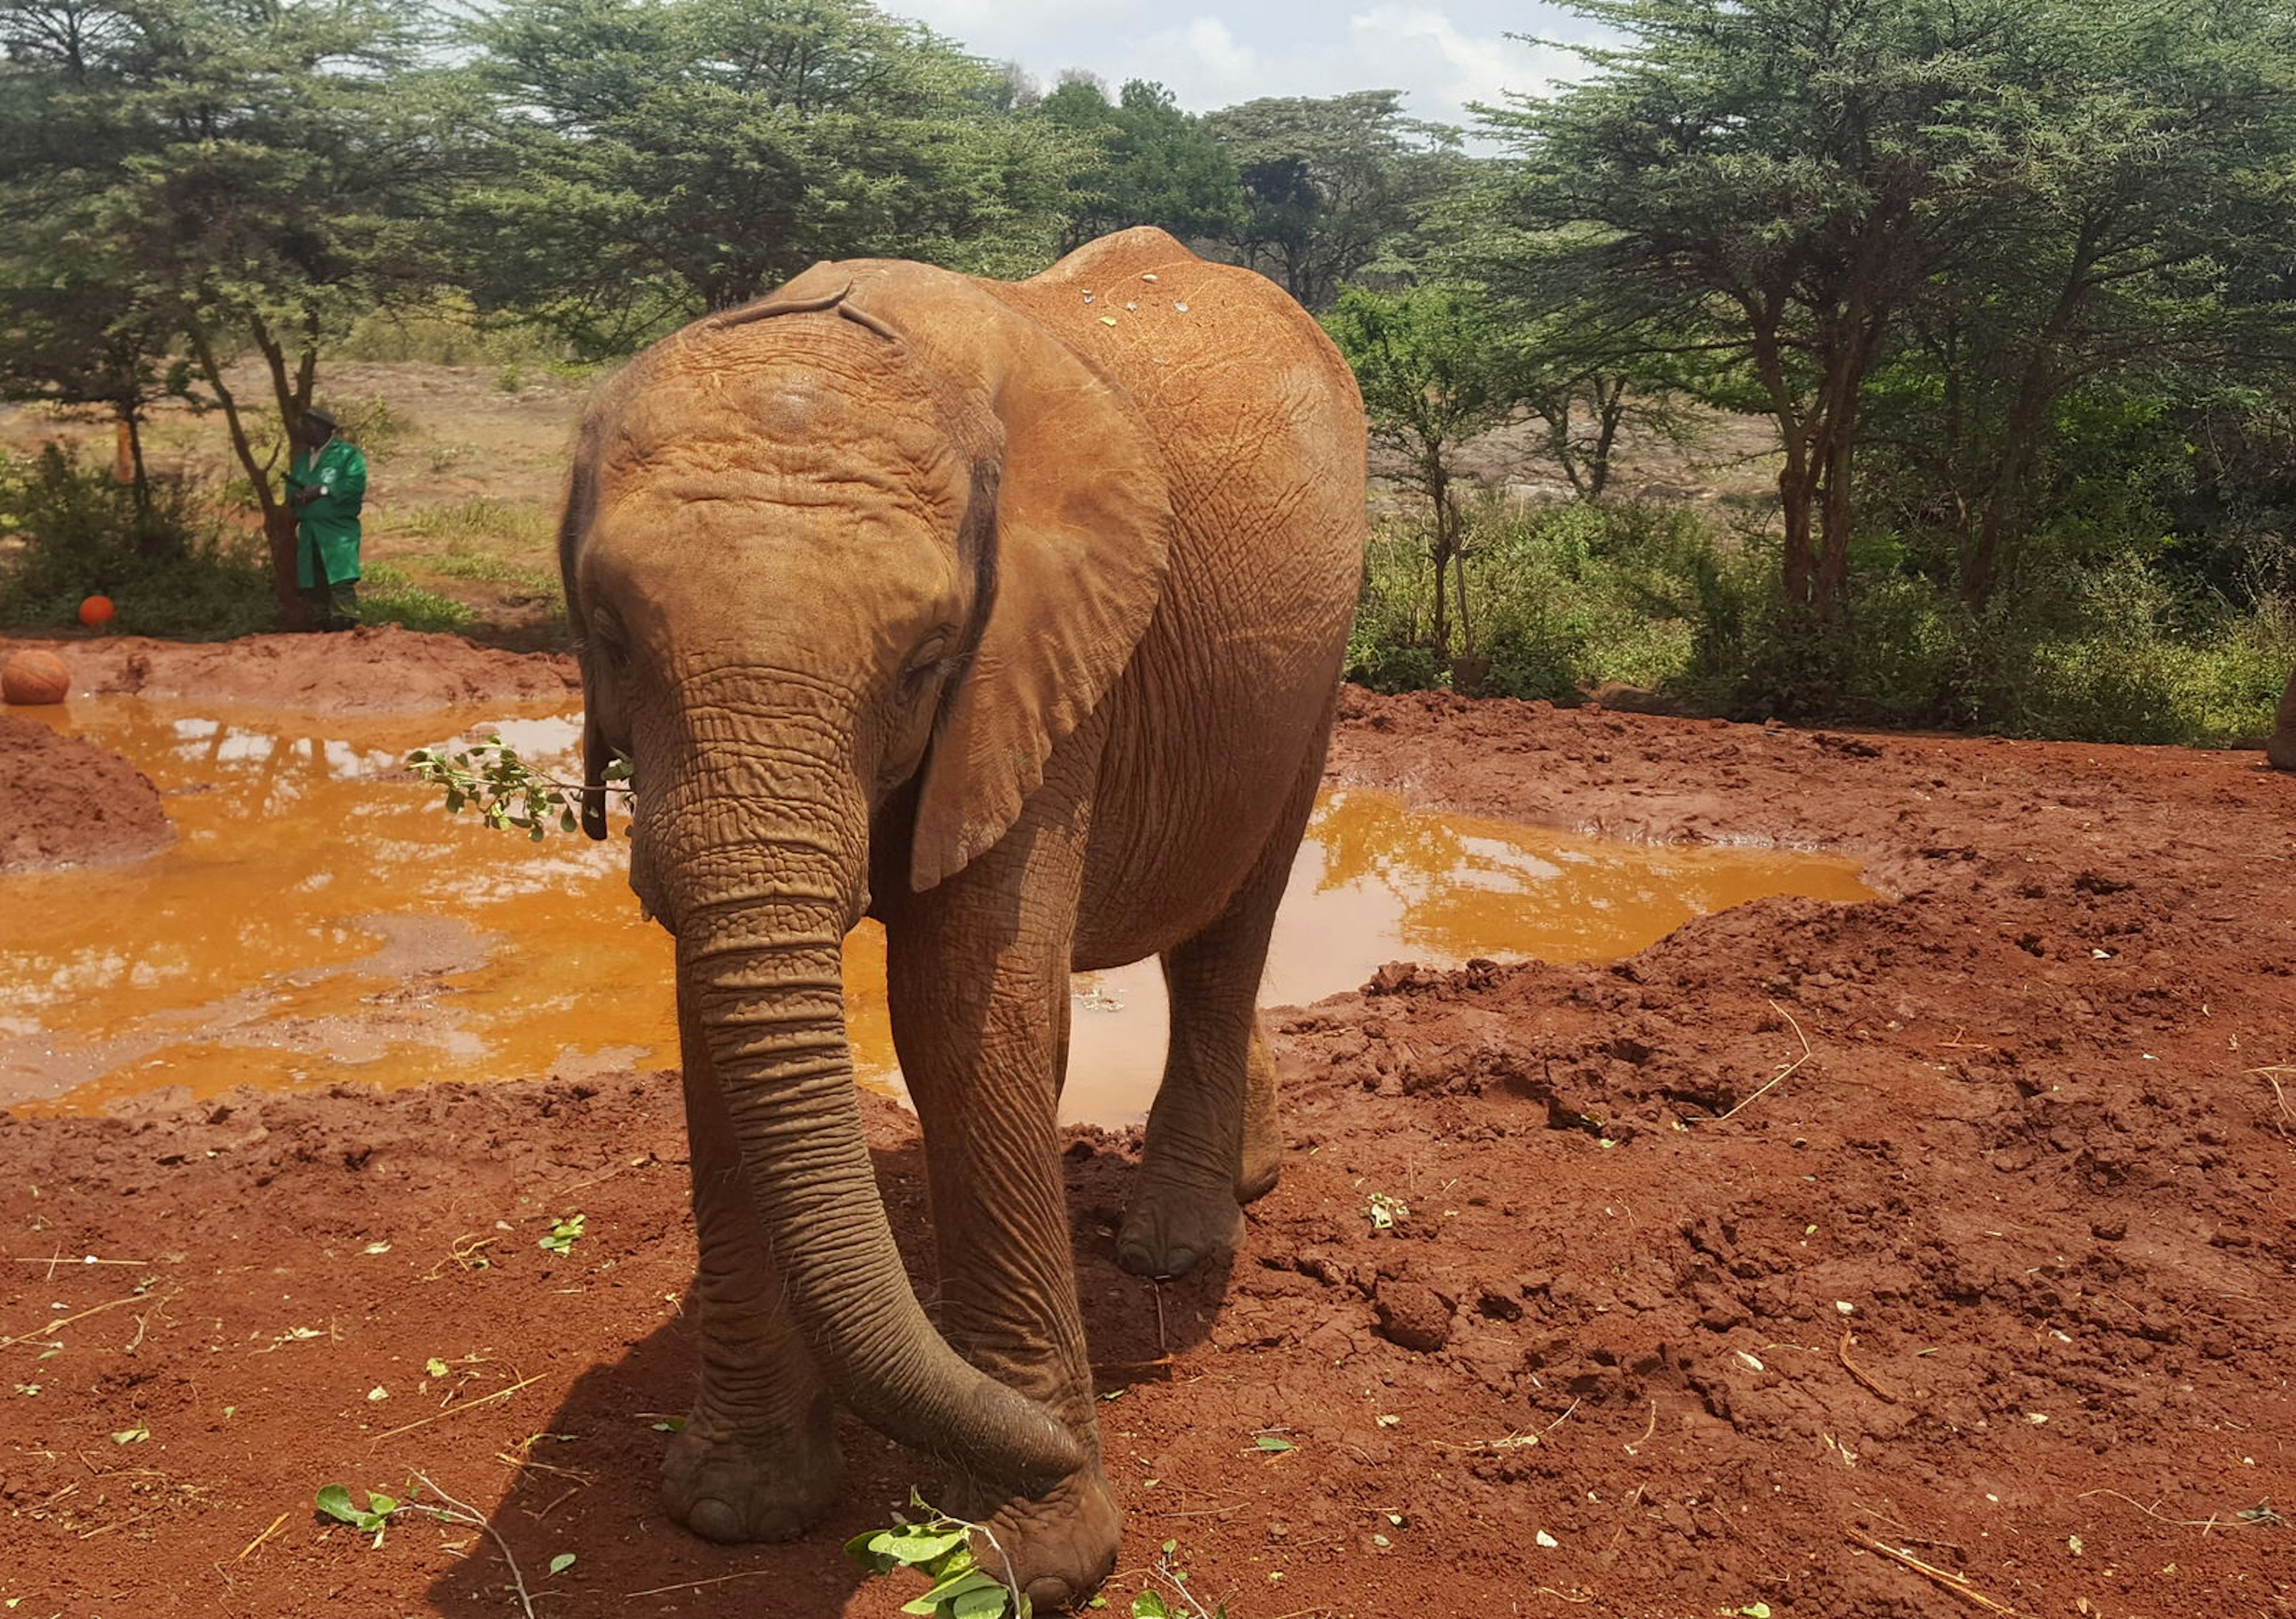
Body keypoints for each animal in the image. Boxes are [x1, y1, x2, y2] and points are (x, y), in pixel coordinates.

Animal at [560, 227, 1359, 1607]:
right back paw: (1242, 1178)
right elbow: (717, 1027)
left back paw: (1174, 1249)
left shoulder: (1036, 657)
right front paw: (738, 1510)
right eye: (609, 634)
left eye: (926, 660)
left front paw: (1028, 1555)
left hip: (1318, 655)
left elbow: (961, 1017)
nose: (1065, 1445)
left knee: (1231, 923)